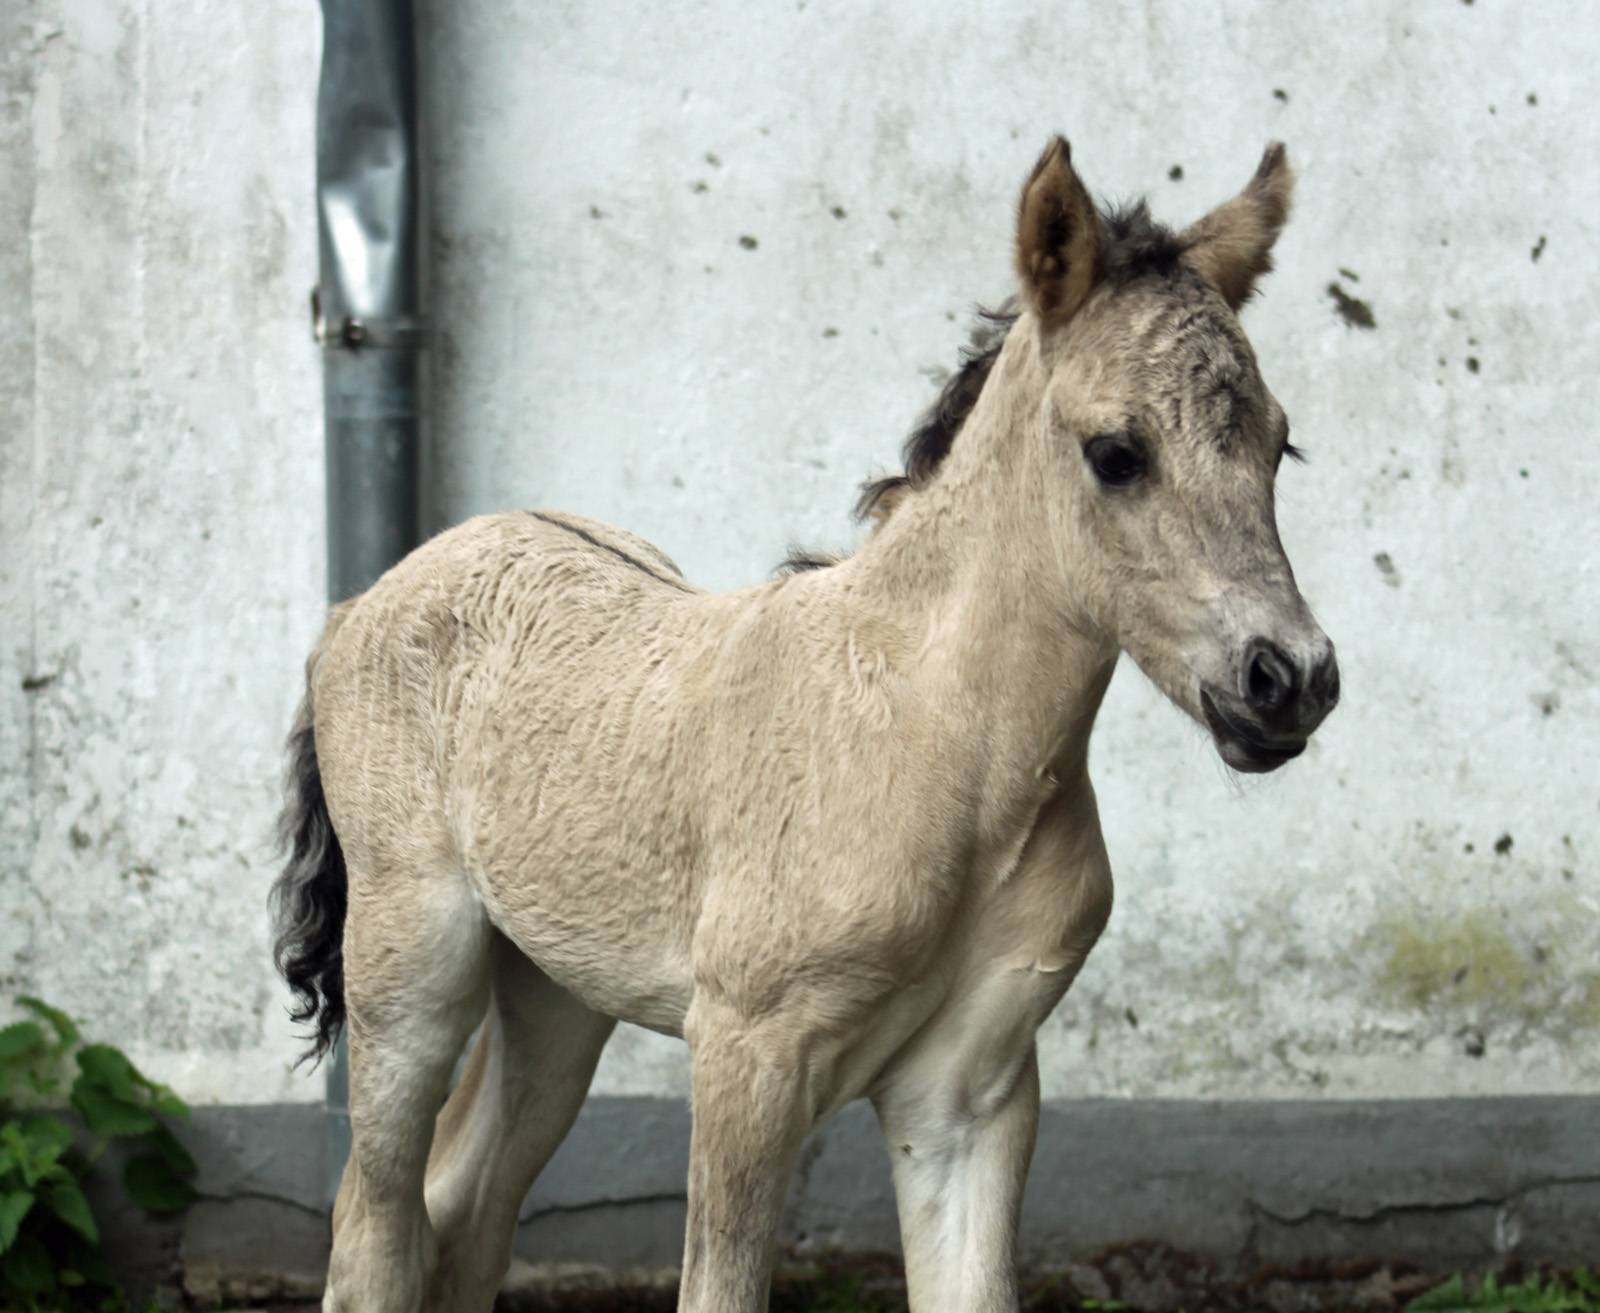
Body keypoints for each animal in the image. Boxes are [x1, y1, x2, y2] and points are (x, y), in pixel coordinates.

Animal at [275, 135, 1337, 1311]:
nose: (1288, 679)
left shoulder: (969, 1097)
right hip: (410, 965)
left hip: (555, 988)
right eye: (1116, 452)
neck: (941, 745)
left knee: (462, 1211)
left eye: (1281, 446)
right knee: (374, 1223)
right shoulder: (748, 1057)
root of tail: (361, 602)